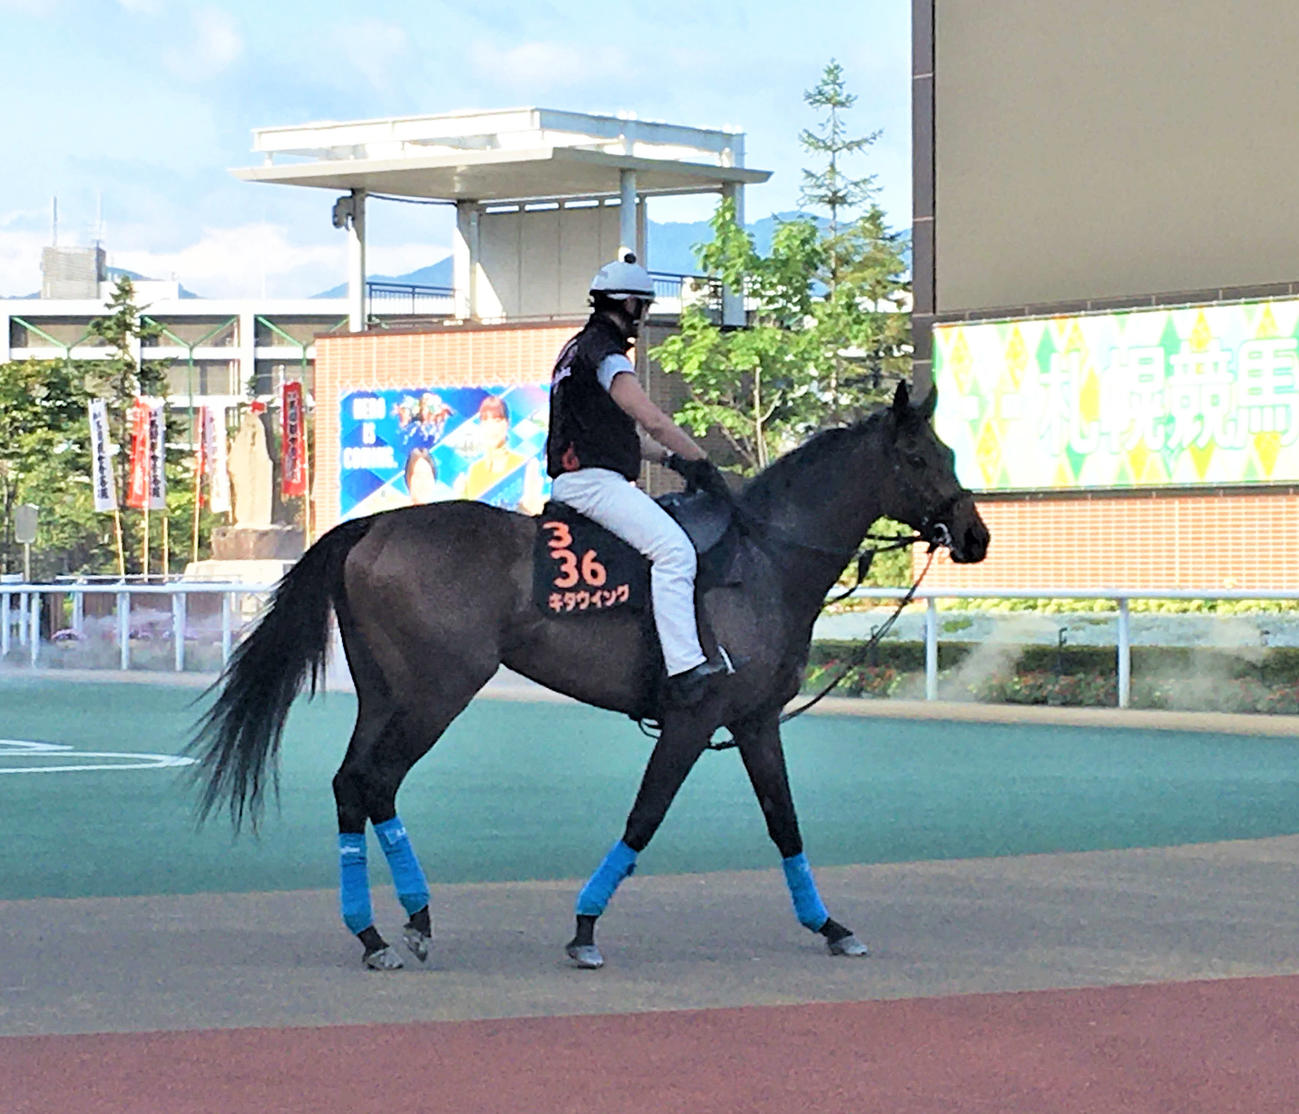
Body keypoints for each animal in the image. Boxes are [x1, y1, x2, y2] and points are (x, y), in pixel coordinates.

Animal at [188, 381, 989, 970]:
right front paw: (583, 927)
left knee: (352, 784)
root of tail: (373, 524)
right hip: (437, 693)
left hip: (384, 695)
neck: (765, 557)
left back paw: (376, 931)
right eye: (919, 458)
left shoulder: (755, 721)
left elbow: (783, 822)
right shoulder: (693, 719)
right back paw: (406, 922)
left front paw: (828, 924)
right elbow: (644, 817)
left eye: (945, 449)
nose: (974, 535)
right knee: (377, 781)